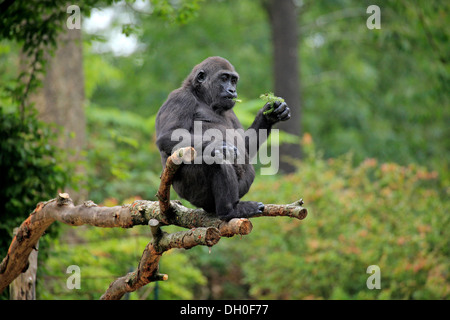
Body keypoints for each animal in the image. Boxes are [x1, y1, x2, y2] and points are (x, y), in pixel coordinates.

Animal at [156, 56, 290, 220]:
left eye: (233, 80)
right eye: (224, 78)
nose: (232, 90)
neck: (202, 97)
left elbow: (245, 146)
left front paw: (269, 114)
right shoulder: (180, 98)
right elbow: (169, 135)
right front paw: (217, 145)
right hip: (189, 193)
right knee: (215, 159)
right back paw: (229, 211)